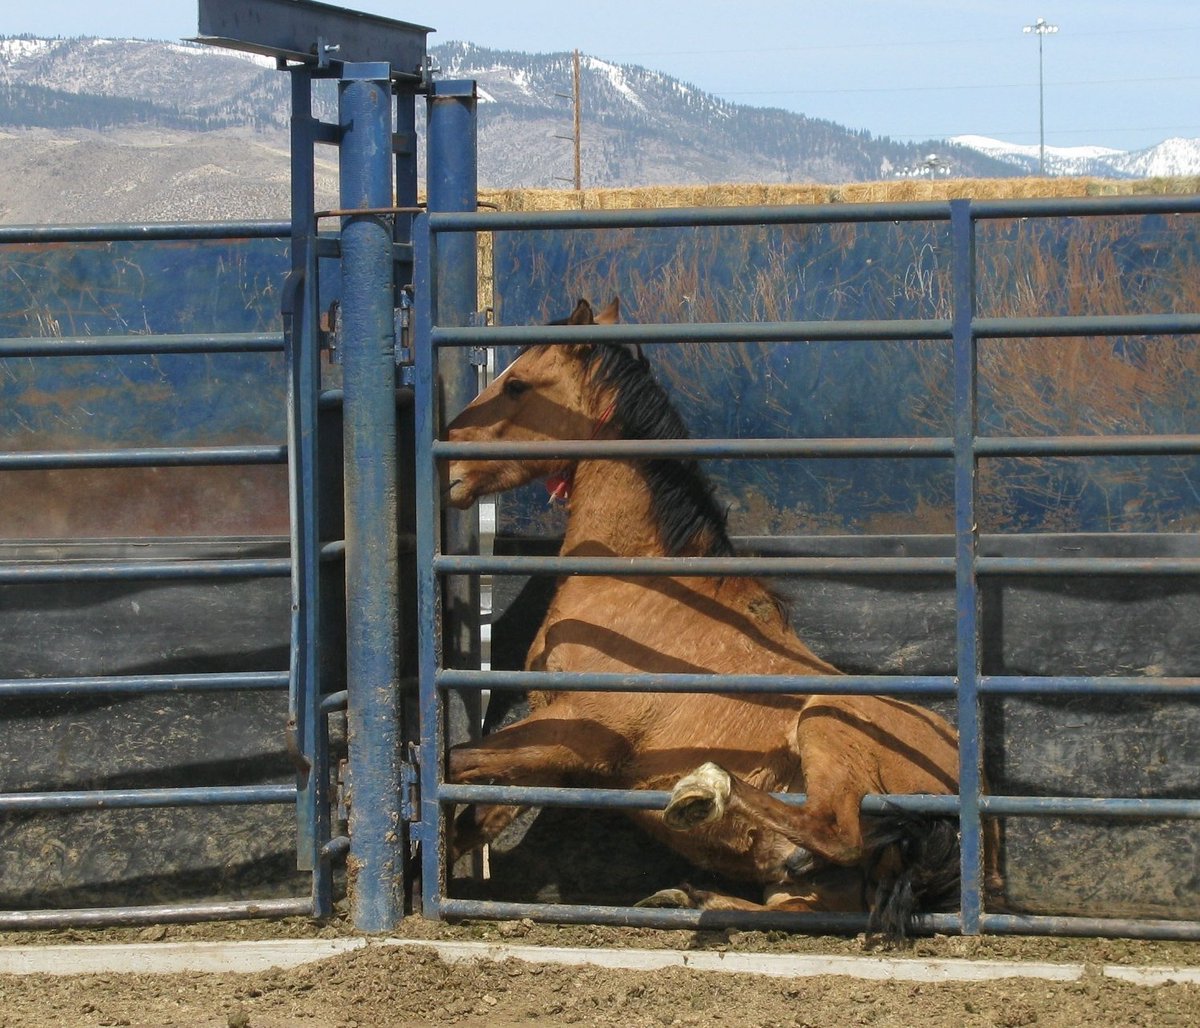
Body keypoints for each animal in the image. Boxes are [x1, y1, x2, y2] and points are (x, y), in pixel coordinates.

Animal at [443, 297, 968, 937]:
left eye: (517, 384)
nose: (449, 465)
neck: (641, 587)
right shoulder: (552, 746)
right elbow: (476, 810)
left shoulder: (581, 736)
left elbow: (456, 761)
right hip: (818, 880)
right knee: (797, 907)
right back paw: (685, 896)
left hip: (828, 722)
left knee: (834, 830)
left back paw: (703, 794)